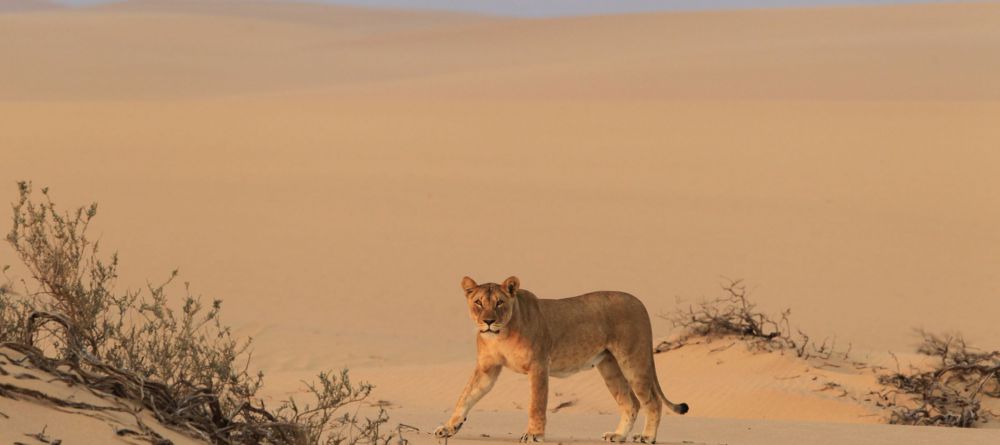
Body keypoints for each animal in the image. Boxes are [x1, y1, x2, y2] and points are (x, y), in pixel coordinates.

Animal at [434, 276, 688, 443]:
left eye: (499, 303)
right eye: (478, 302)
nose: (488, 321)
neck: (500, 335)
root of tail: (638, 301)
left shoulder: (538, 366)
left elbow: (536, 404)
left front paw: (534, 434)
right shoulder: (487, 369)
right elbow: (466, 396)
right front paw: (448, 427)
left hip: (633, 361)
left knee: (652, 401)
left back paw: (646, 437)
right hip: (609, 367)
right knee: (631, 402)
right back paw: (617, 435)